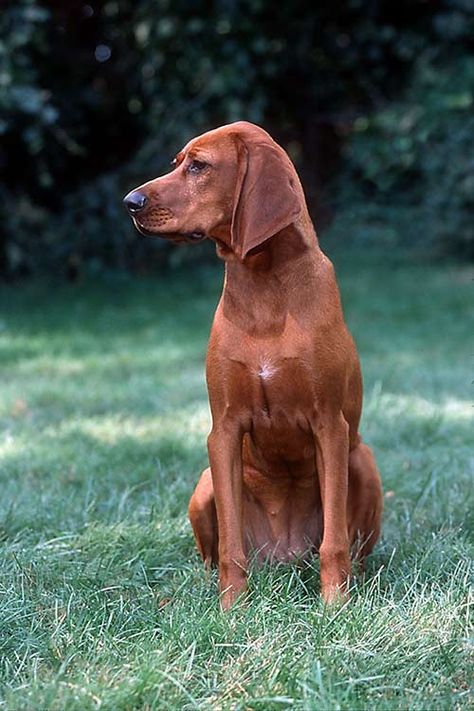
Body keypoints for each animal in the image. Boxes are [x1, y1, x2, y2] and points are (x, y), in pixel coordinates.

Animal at [124, 119, 384, 608]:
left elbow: (335, 540)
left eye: (199, 166)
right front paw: (230, 610)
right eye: (177, 162)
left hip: (363, 460)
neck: (264, 287)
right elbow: (230, 544)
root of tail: (284, 556)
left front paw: (334, 606)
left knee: (352, 547)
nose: (130, 202)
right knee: (213, 553)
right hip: (204, 483)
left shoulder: (330, 425)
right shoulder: (224, 429)